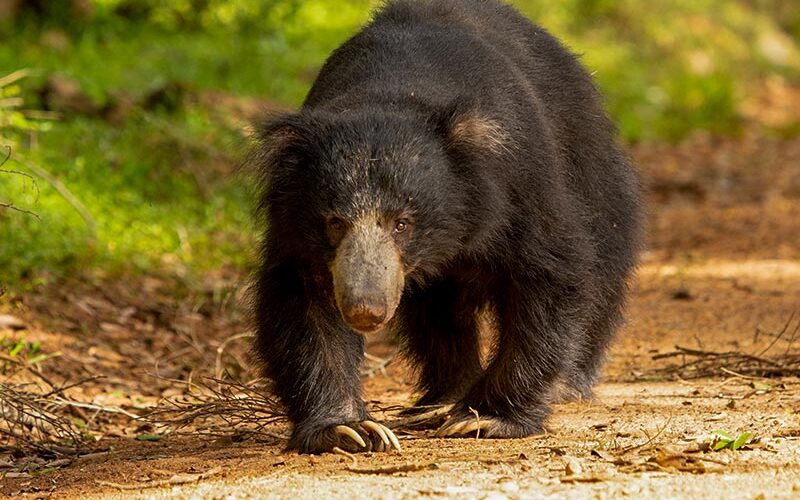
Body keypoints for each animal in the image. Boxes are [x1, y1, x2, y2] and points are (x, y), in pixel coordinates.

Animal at [252, 0, 643, 454]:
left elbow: (548, 274)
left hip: (592, 169)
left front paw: (485, 418)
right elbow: (303, 299)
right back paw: (442, 400)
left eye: (402, 223)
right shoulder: (296, 228)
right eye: (334, 222)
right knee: (437, 313)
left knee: (606, 259)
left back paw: (564, 384)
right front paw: (349, 429)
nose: (365, 310)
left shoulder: (516, 183)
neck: (394, 94)